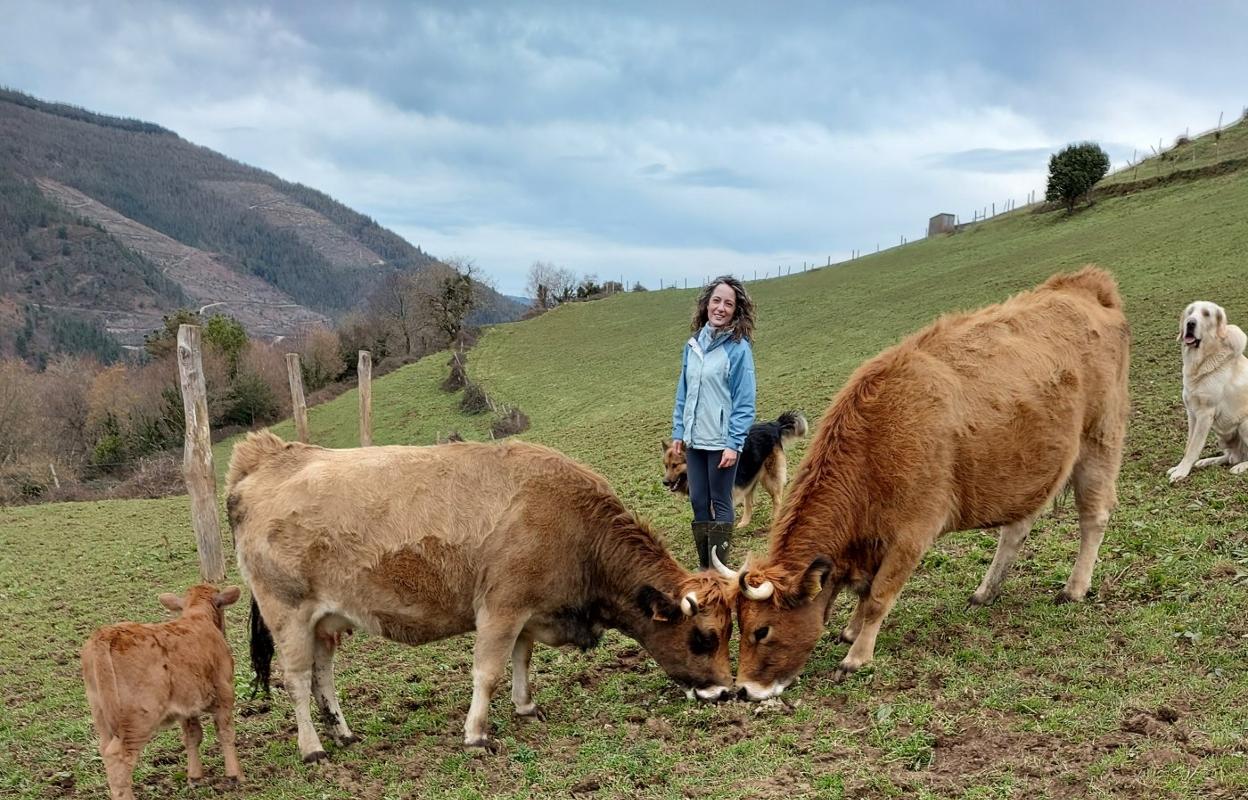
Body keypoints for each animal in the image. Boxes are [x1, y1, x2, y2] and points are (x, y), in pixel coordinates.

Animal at [81, 584, 243, 793]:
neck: (197, 616)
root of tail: (107, 634)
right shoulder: (225, 692)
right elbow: (225, 732)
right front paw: (235, 775)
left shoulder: (187, 705)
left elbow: (192, 736)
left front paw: (195, 776)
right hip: (138, 720)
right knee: (118, 759)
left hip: (101, 716)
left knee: (105, 751)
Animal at [225, 434, 733, 758]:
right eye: (703, 638)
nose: (727, 691)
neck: (576, 526)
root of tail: (266, 458)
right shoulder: (500, 609)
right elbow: (487, 673)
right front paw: (476, 735)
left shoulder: (529, 609)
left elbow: (522, 658)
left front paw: (526, 706)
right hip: (288, 615)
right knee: (296, 679)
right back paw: (312, 748)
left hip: (325, 622)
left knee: (322, 675)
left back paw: (343, 734)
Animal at [663, 409, 808, 526]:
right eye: (666, 466)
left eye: (675, 465)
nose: (664, 482)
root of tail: (773, 425)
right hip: (749, 476)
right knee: (749, 503)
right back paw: (744, 523)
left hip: (769, 478)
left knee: (777, 498)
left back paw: (775, 518)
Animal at [723, 267, 1133, 698]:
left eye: (762, 630)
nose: (743, 690)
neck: (876, 441)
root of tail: (1084, 286)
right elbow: (865, 592)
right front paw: (850, 631)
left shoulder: (912, 534)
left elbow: (879, 596)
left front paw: (857, 656)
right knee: (1016, 529)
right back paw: (986, 591)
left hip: (1100, 440)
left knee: (1094, 518)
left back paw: (1074, 588)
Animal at [1163, 299, 1248, 484]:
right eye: (1190, 312)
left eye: (1206, 314)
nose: (1190, 323)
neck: (1202, 360)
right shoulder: (1192, 413)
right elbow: (1188, 445)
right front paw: (1179, 467)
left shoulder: (1205, 414)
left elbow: (1194, 446)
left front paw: (1181, 472)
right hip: (1223, 433)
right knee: (1232, 456)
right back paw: (1208, 461)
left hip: (1244, 424)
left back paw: (1239, 467)